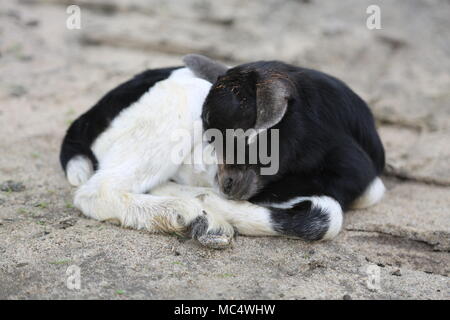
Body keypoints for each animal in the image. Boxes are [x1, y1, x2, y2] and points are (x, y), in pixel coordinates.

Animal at [59, 54, 384, 248]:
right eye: (210, 134)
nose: (224, 183)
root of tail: (87, 118)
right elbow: (328, 216)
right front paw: (202, 204)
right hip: (181, 100)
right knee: (97, 191)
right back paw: (185, 213)